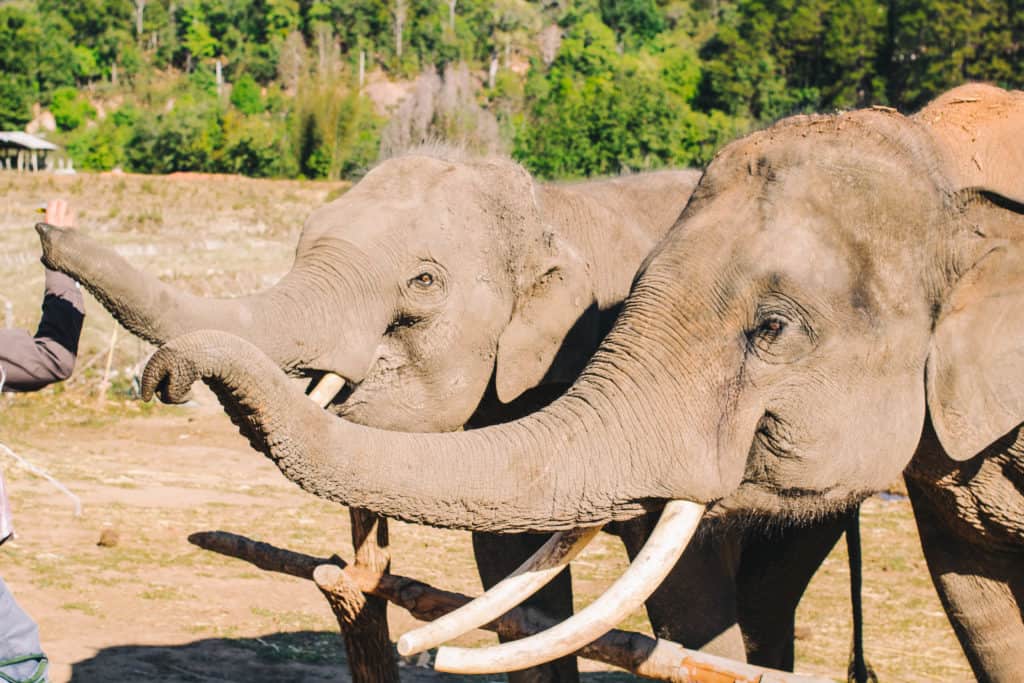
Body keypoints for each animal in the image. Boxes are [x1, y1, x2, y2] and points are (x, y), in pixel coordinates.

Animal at [41, 153, 864, 671]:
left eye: (424, 282)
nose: (46, 231)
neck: (552, 209)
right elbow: (514, 591)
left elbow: (683, 597)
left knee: (769, 591)